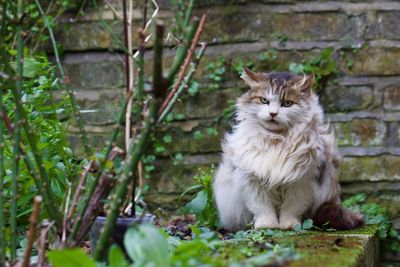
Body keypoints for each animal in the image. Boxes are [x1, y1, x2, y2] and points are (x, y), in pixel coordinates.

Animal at [214, 68, 364, 231]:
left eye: (287, 103)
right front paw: (266, 225)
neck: (276, 140)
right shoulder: (254, 181)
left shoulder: (301, 182)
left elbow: (291, 209)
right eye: (264, 100)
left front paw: (289, 225)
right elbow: (263, 209)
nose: (273, 113)